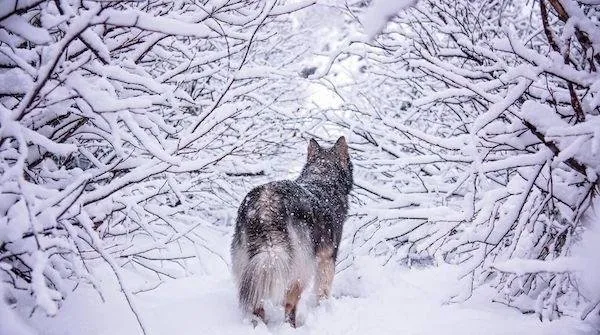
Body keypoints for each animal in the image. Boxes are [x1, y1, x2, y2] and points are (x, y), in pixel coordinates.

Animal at [230, 136, 352, 328]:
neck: (323, 178)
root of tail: (265, 206)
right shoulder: (328, 258)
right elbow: (323, 290)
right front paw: (324, 308)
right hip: (301, 268)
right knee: (290, 303)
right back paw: (291, 327)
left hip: (250, 265)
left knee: (257, 303)